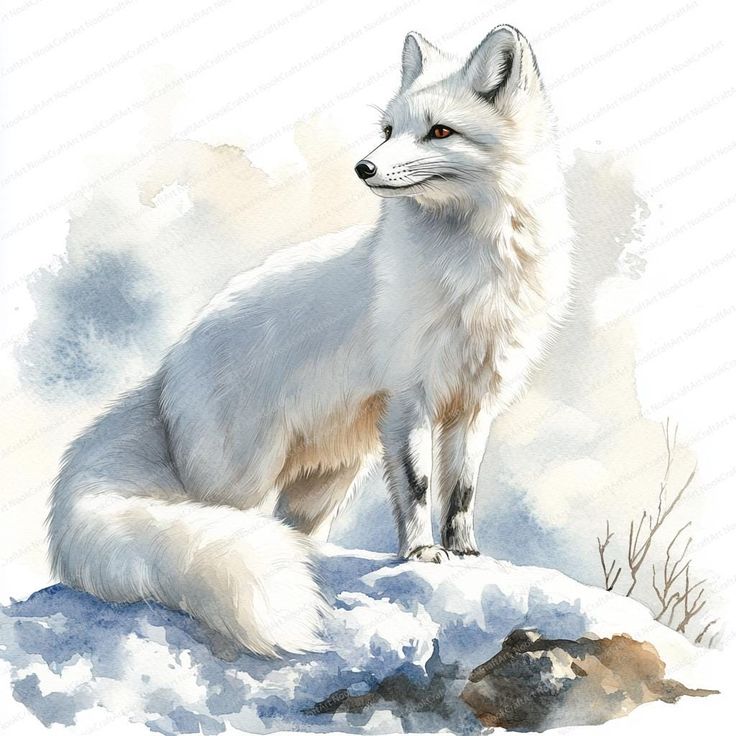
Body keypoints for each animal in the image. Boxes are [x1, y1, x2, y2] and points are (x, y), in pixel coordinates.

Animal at [48, 25, 572, 658]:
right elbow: (420, 487)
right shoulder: (410, 399)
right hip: (240, 479)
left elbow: (462, 490)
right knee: (237, 523)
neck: (477, 274)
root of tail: (168, 366)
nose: (363, 167)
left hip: (327, 480)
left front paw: (464, 552)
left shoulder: (476, 403)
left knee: (295, 530)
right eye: (389, 130)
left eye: (441, 131)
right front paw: (423, 552)